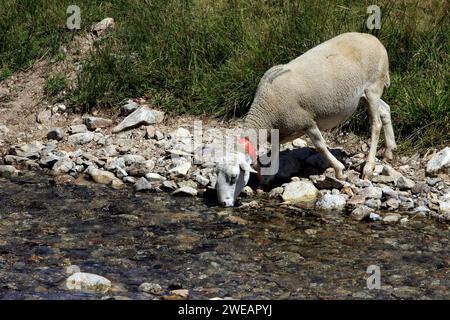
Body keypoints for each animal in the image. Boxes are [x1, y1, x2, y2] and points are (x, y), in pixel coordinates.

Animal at [216, 33, 396, 208]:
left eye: (233, 177)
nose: (223, 203)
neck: (265, 111)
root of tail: (373, 39)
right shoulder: (279, 132)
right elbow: (274, 153)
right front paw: (267, 179)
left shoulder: (307, 122)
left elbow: (320, 146)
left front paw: (339, 171)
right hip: (365, 94)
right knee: (385, 110)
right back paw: (389, 150)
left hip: (373, 86)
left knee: (376, 124)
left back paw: (368, 167)